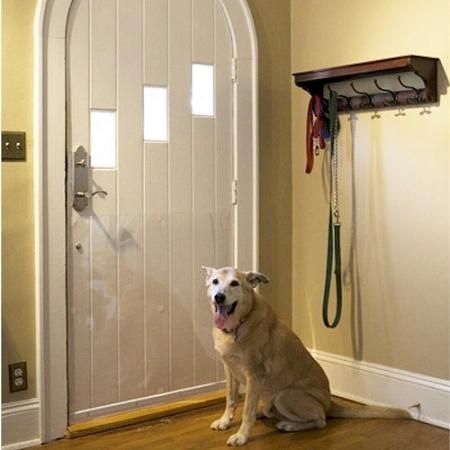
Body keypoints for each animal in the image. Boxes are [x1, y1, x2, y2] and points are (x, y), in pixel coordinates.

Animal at [204, 268, 412, 446]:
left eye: (234, 283)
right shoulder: (230, 370)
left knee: (320, 420)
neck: (237, 325)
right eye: (215, 281)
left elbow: (247, 411)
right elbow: (231, 400)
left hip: (285, 395)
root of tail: (330, 403)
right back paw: (266, 413)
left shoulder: (255, 375)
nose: (219, 297)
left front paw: (241, 436)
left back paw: (288, 424)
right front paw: (225, 421)